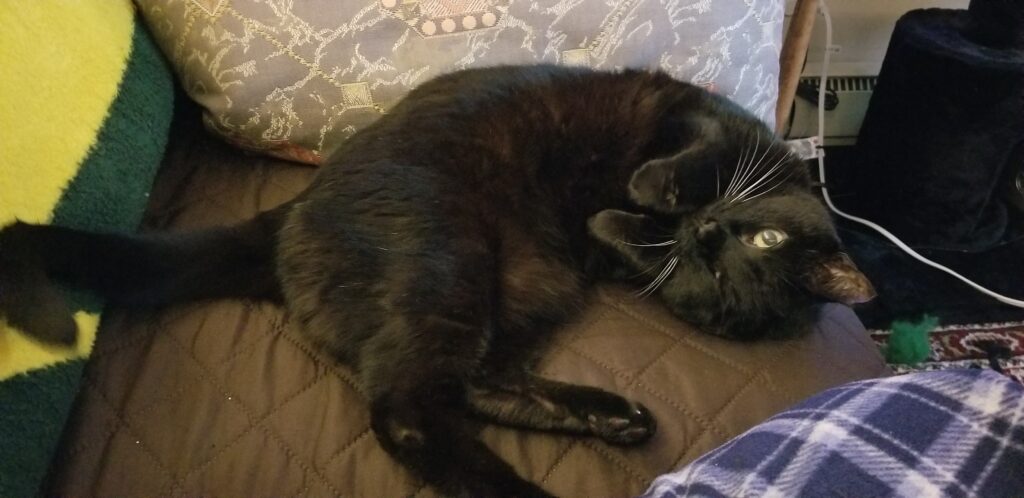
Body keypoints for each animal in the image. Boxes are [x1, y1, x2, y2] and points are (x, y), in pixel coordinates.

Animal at [2, 66, 880, 498]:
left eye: (716, 278)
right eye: (760, 236)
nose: (703, 234)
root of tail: (286, 217)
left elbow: (622, 231)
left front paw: (631, 218)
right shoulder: (695, 116)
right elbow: (690, 154)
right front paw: (652, 188)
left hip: (506, 285)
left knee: (444, 394)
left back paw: (607, 419)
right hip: (447, 255)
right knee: (412, 405)